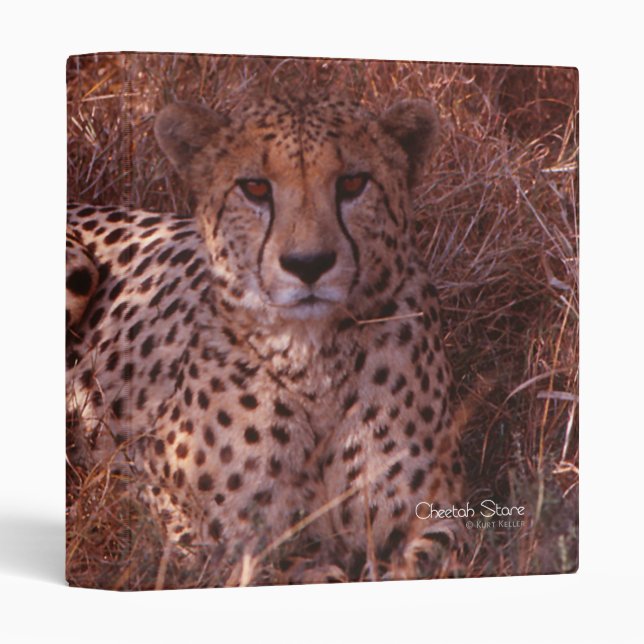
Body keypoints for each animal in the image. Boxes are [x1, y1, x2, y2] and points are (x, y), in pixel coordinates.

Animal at [66, 92, 464, 586]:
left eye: (353, 183)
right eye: (255, 188)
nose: (309, 263)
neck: (314, 358)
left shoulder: (442, 515)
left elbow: (427, 558)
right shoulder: (179, 509)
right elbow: (286, 569)